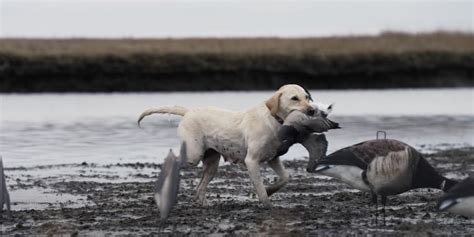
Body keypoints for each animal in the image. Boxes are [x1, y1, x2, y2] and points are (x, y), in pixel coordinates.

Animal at [137, 84, 314, 207]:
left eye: (307, 97)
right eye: (294, 98)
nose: (312, 110)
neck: (274, 121)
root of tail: (188, 111)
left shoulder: (273, 158)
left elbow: (285, 178)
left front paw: (271, 190)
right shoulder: (251, 161)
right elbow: (260, 188)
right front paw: (267, 202)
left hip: (211, 164)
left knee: (200, 188)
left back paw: (204, 204)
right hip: (193, 155)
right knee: (176, 163)